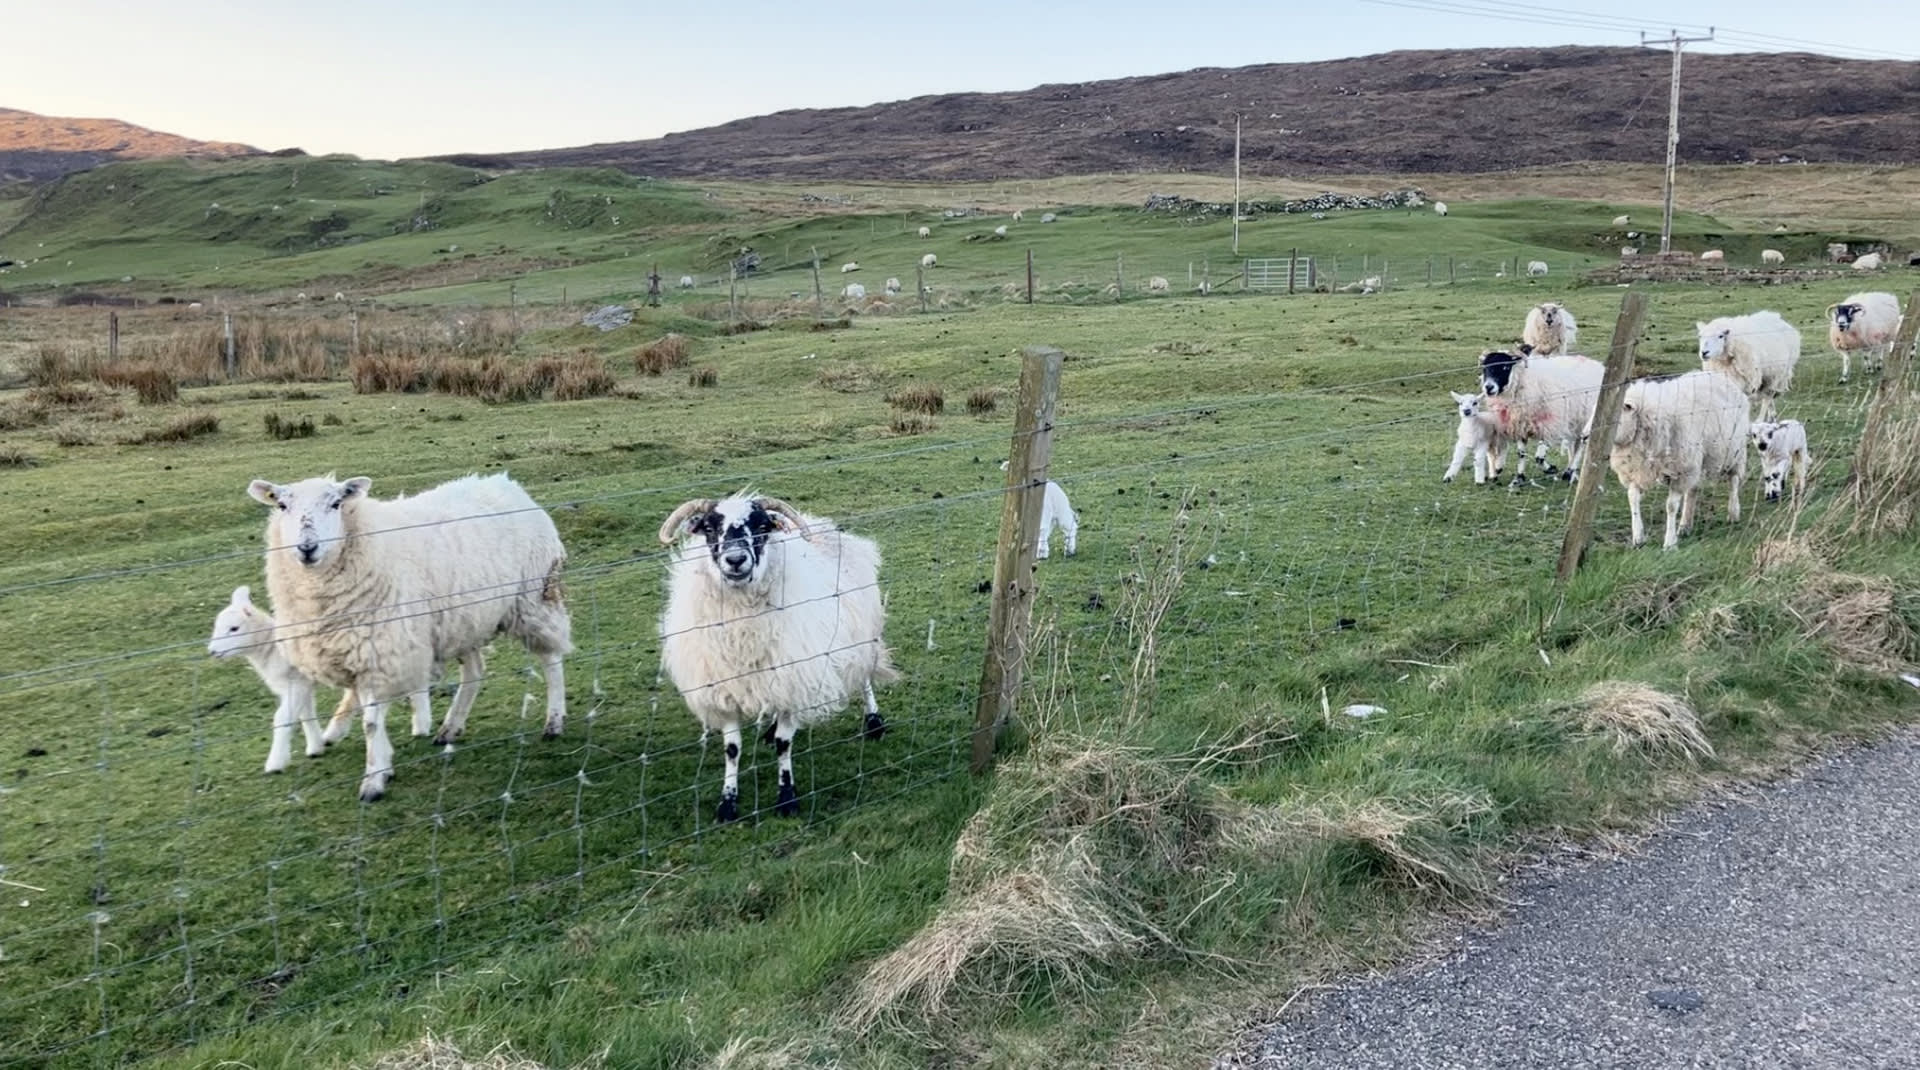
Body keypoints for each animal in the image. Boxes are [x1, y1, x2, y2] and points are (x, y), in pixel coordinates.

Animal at [205, 587, 441, 772]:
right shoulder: (302, 686)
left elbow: (282, 719)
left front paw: (275, 763)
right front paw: (315, 747)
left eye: (234, 628)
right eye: (217, 627)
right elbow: (306, 715)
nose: (212, 651)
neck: (271, 649)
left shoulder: (296, 684)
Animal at [243, 470, 568, 795]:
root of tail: (504, 482)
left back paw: (554, 722)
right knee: (474, 672)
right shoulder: (364, 655)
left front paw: (373, 780)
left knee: (551, 660)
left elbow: (371, 723)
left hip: (534, 599)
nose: (307, 548)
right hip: (466, 620)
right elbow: (365, 712)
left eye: (336, 503)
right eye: (282, 506)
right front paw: (380, 762)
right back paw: (450, 728)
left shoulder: (381, 652)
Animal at [660, 491, 898, 818]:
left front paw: (787, 797)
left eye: (762, 526)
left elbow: (785, 744)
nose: (736, 560)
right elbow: (732, 749)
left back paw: (874, 722)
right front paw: (727, 803)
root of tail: (821, 523)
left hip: (859, 636)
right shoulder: (727, 688)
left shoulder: (796, 677)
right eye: (709, 528)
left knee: (864, 678)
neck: (741, 628)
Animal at [1482, 349, 1605, 484]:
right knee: (1575, 444)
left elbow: (1539, 457)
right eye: (1484, 368)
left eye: (1505, 367)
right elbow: (1521, 453)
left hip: (1589, 418)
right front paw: (1519, 478)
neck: (1524, 380)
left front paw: (1550, 469)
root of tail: (1598, 365)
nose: (1488, 387)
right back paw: (1571, 469)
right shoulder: (1520, 425)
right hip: (1575, 421)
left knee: (1582, 443)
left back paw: (1570, 472)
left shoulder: (1549, 425)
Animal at [1582, 368, 1751, 549]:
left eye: (1612, 418)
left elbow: (1670, 506)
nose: (1584, 437)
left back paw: (1733, 512)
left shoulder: (1680, 472)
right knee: (1693, 490)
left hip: (1734, 451)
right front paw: (1638, 537)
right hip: (1696, 461)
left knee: (1734, 480)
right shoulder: (1636, 470)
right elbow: (1632, 498)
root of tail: (1717, 374)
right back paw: (1685, 525)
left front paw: (1669, 543)